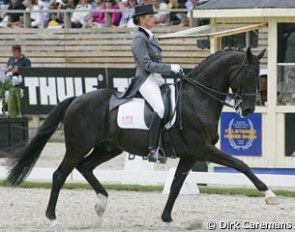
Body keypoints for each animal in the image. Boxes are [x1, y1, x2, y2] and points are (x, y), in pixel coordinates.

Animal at [4, 47, 278, 223]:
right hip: (78, 145)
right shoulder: (202, 149)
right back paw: (51, 216)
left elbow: (176, 185)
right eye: (249, 75)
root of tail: (76, 99)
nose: (249, 109)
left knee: (85, 167)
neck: (198, 99)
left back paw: (102, 202)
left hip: (108, 147)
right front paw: (270, 196)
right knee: (60, 173)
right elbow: (241, 164)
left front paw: (166, 218)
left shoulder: (190, 155)